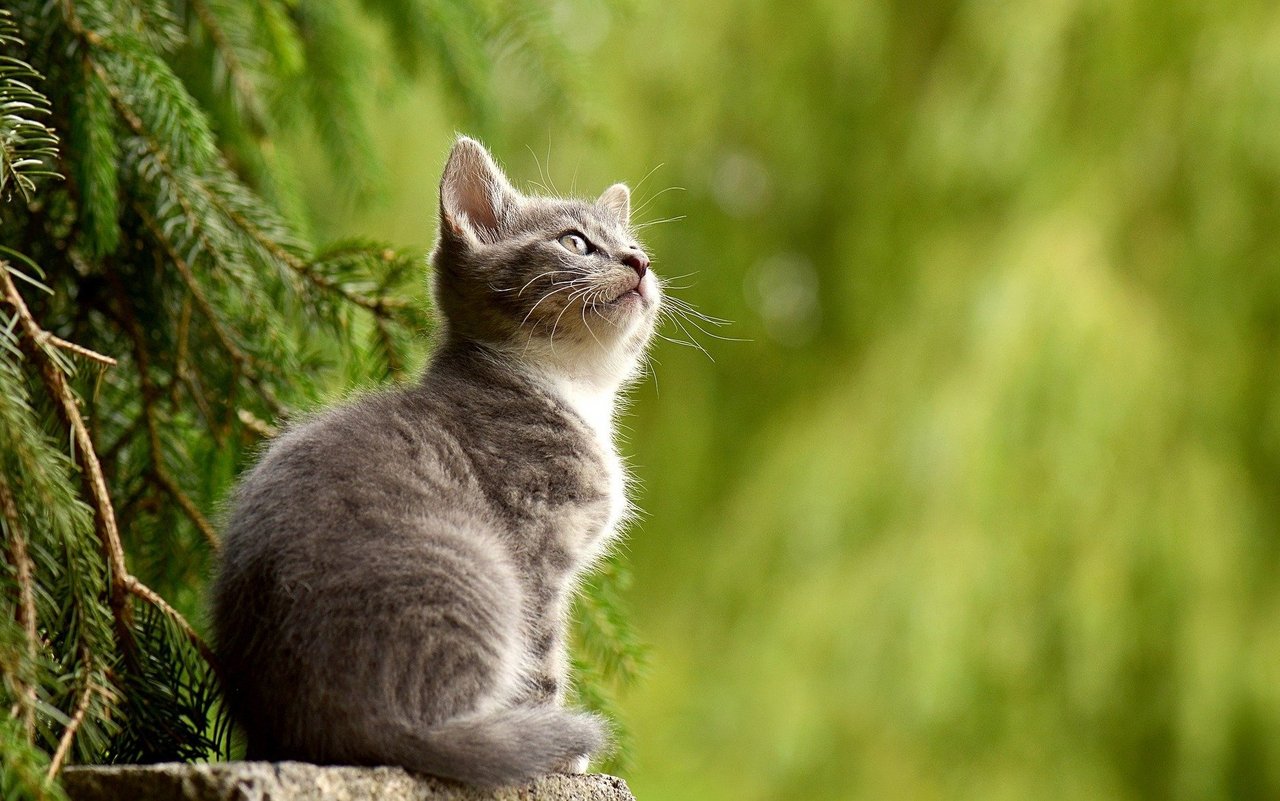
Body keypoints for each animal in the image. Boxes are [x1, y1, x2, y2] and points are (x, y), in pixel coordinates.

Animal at [212, 135, 660, 777]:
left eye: (636, 246)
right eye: (574, 242)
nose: (639, 264)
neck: (570, 388)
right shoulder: (536, 550)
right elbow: (543, 661)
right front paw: (559, 760)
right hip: (480, 573)